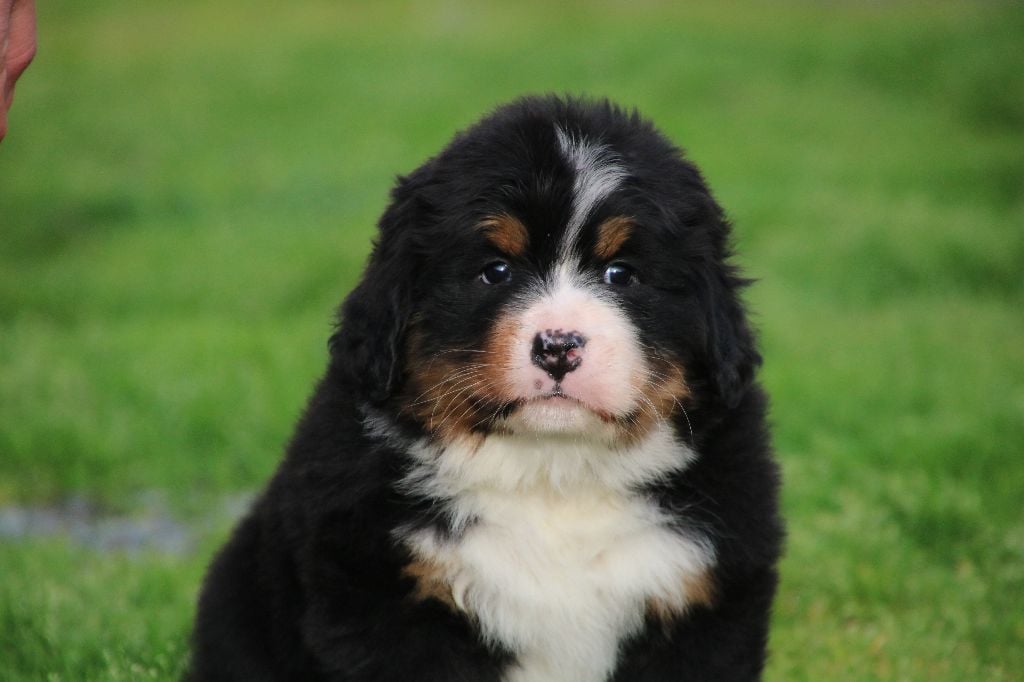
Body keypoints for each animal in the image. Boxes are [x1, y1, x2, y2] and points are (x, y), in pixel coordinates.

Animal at [188, 95, 782, 679]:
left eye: (622, 274)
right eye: (496, 270)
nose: (559, 346)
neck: (553, 475)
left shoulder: (702, 602)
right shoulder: (388, 607)